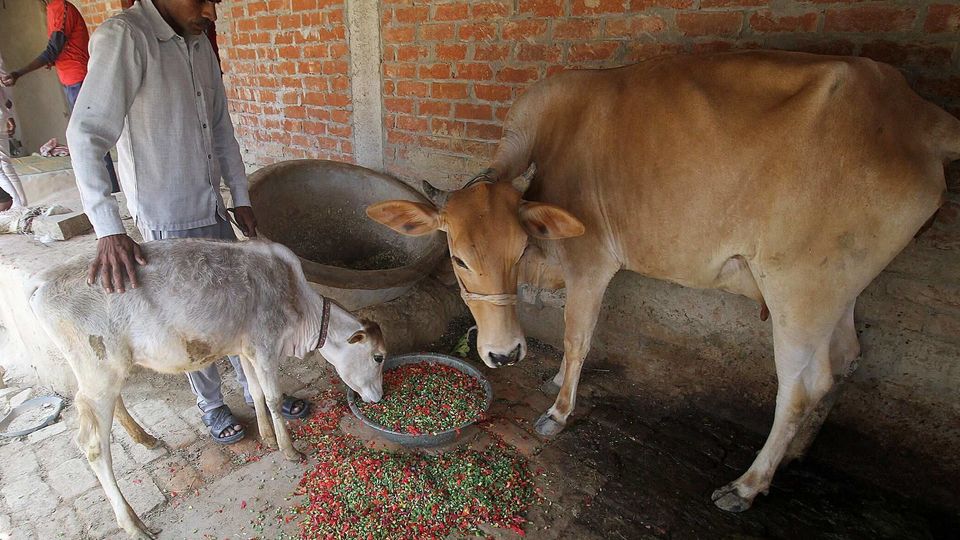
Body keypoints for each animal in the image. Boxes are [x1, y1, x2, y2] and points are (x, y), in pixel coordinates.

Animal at [368, 52, 960, 512]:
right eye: (459, 258)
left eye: (519, 250)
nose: (506, 354)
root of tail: (918, 113)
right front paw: (554, 380)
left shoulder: (590, 263)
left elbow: (577, 338)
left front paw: (558, 411)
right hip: (840, 291)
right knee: (848, 358)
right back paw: (794, 454)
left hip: (801, 289)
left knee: (803, 385)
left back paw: (748, 484)